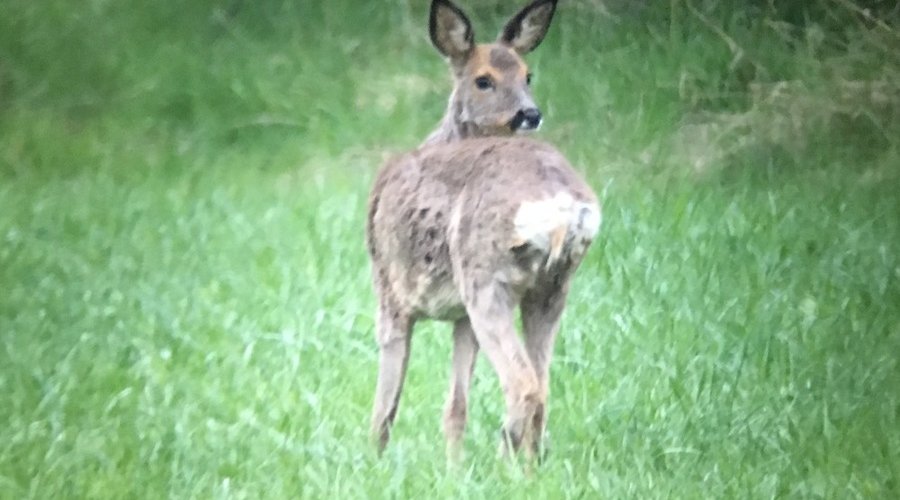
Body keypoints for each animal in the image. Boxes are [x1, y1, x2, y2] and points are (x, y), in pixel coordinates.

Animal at [366, 0, 600, 462]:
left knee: (523, 386)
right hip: (551, 288)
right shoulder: (460, 317)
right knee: (542, 386)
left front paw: (371, 463)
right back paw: (528, 466)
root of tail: (564, 204)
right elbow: (456, 406)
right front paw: (453, 468)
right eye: (484, 80)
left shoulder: (390, 290)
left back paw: (505, 460)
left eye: (527, 75)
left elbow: (385, 404)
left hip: (486, 279)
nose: (530, 114)